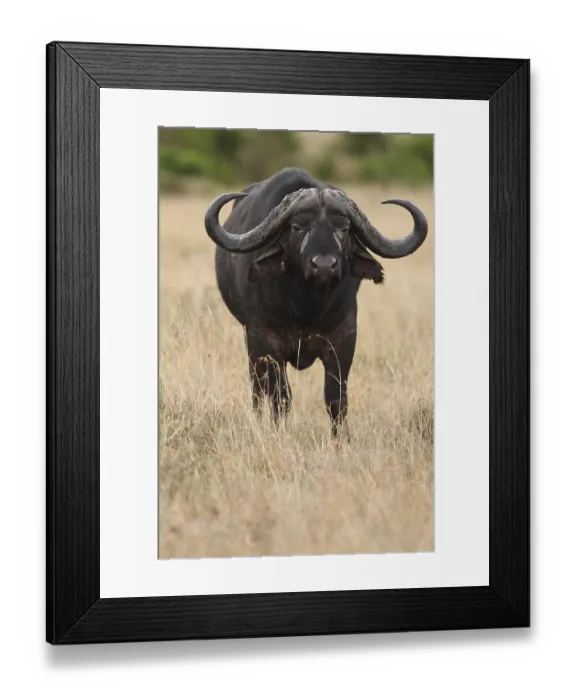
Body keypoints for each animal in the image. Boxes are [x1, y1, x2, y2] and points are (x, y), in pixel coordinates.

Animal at [203, 167, 428, 438]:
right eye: (297, 227)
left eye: (344, 228)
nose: (323, 266)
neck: (307, 307)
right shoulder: (266, 340)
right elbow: (280, 396)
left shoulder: (344, 338)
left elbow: (336, 398)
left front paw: (341, 439)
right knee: (258, 386)